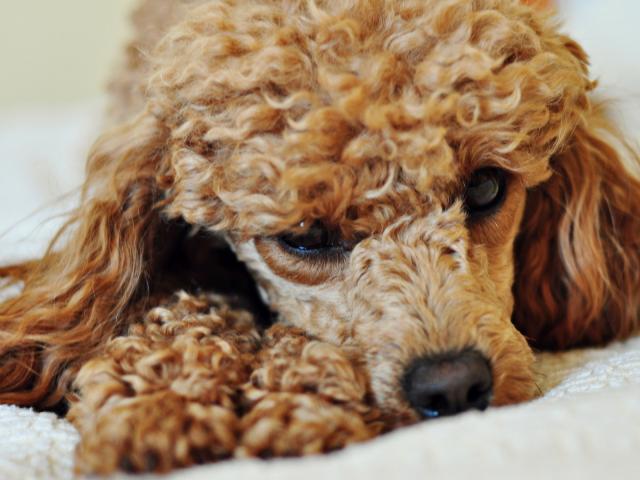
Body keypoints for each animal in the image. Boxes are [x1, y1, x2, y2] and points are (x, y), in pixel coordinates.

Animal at [1, 0, 639, 473]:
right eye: (305, 236)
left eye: (485, 188)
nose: (454, 388)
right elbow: (180, 306)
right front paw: (161, 402)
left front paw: (299, 402)